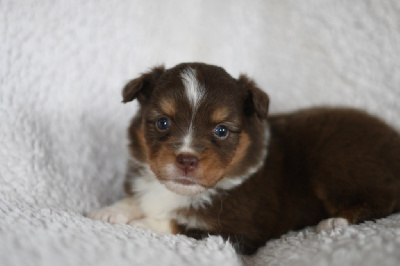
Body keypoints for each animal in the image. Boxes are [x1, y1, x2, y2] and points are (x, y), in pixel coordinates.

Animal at [89, 62, 400, 256]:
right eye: (163, 123)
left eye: (221, 130)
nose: (186, 160)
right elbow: (140, 199)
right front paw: (110, 211)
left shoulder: (242, 230)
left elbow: (182, 225)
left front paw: (142, 224)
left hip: (336, 162)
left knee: (383, 198)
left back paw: (335, 222)